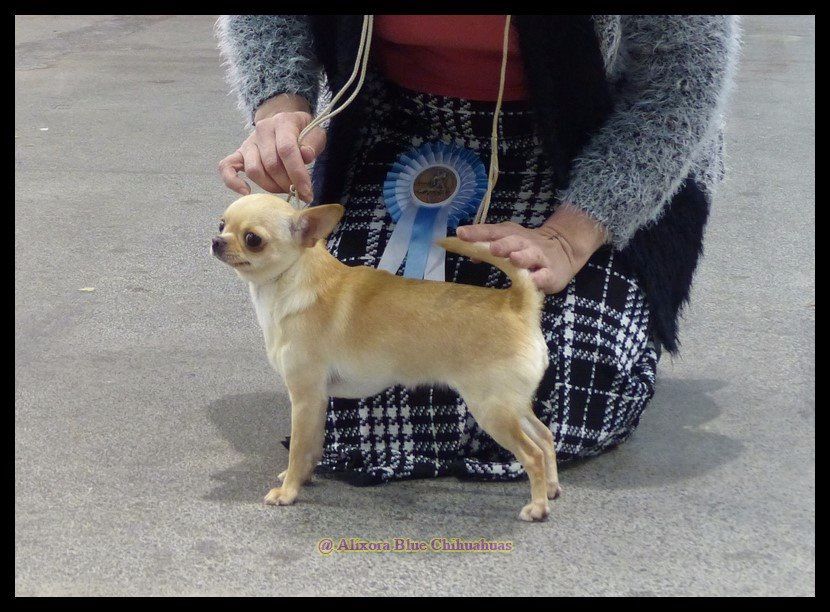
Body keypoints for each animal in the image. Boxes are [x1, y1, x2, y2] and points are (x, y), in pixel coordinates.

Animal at [212, 194, 559, 521]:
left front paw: (288, 492)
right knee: (545, 437)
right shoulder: (317, 401)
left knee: (532, 455)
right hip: (513, 405)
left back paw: (537, 507)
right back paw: (552, 489)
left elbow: (298, 448)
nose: (216, 241)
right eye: (221, 224)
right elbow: (311, 446)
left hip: (491, 410)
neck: (290, 282)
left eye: (253, 239)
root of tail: (517, 304)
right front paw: (302, 479)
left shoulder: (305, 398)